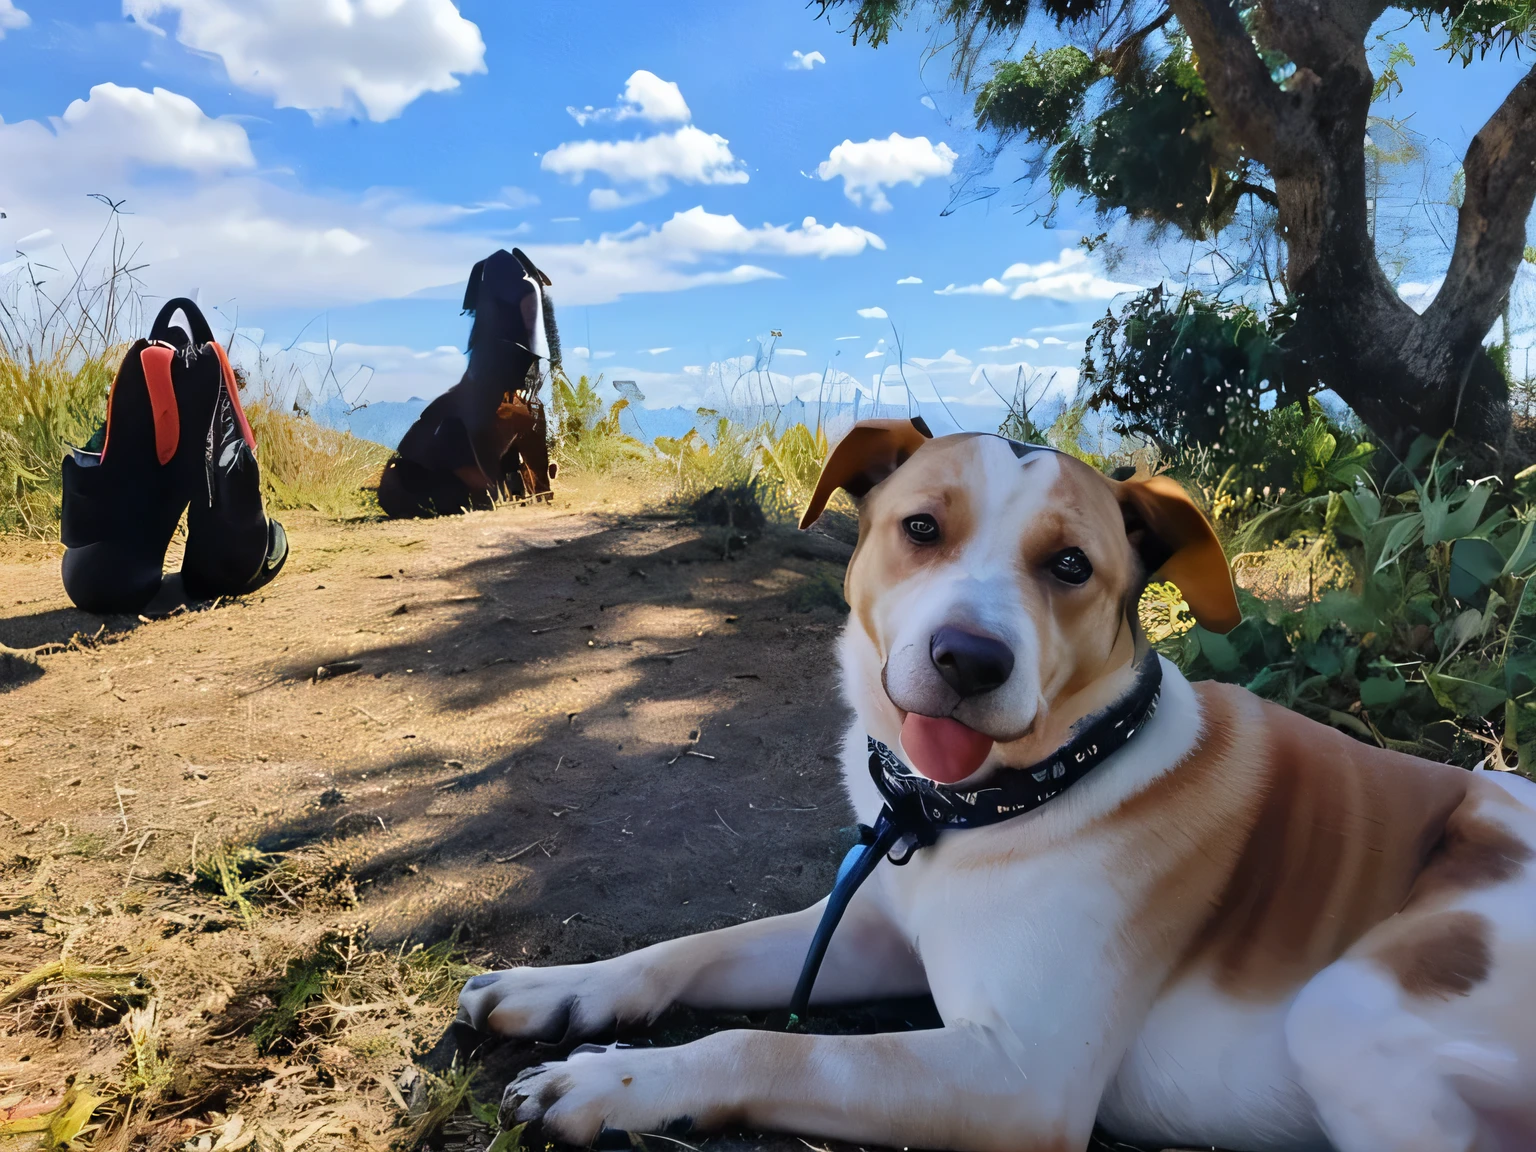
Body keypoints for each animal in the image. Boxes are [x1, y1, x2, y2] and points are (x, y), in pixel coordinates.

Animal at [457, 420, 1536, 1152]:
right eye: (920, 527)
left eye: (1071, 565)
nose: (969, 659)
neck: (1001, 800)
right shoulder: (872, 935)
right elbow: (688, 950)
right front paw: (559, 989)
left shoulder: (1020, 1080)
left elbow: (762, 1046)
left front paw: (614, 1086)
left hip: (1344, 1012)